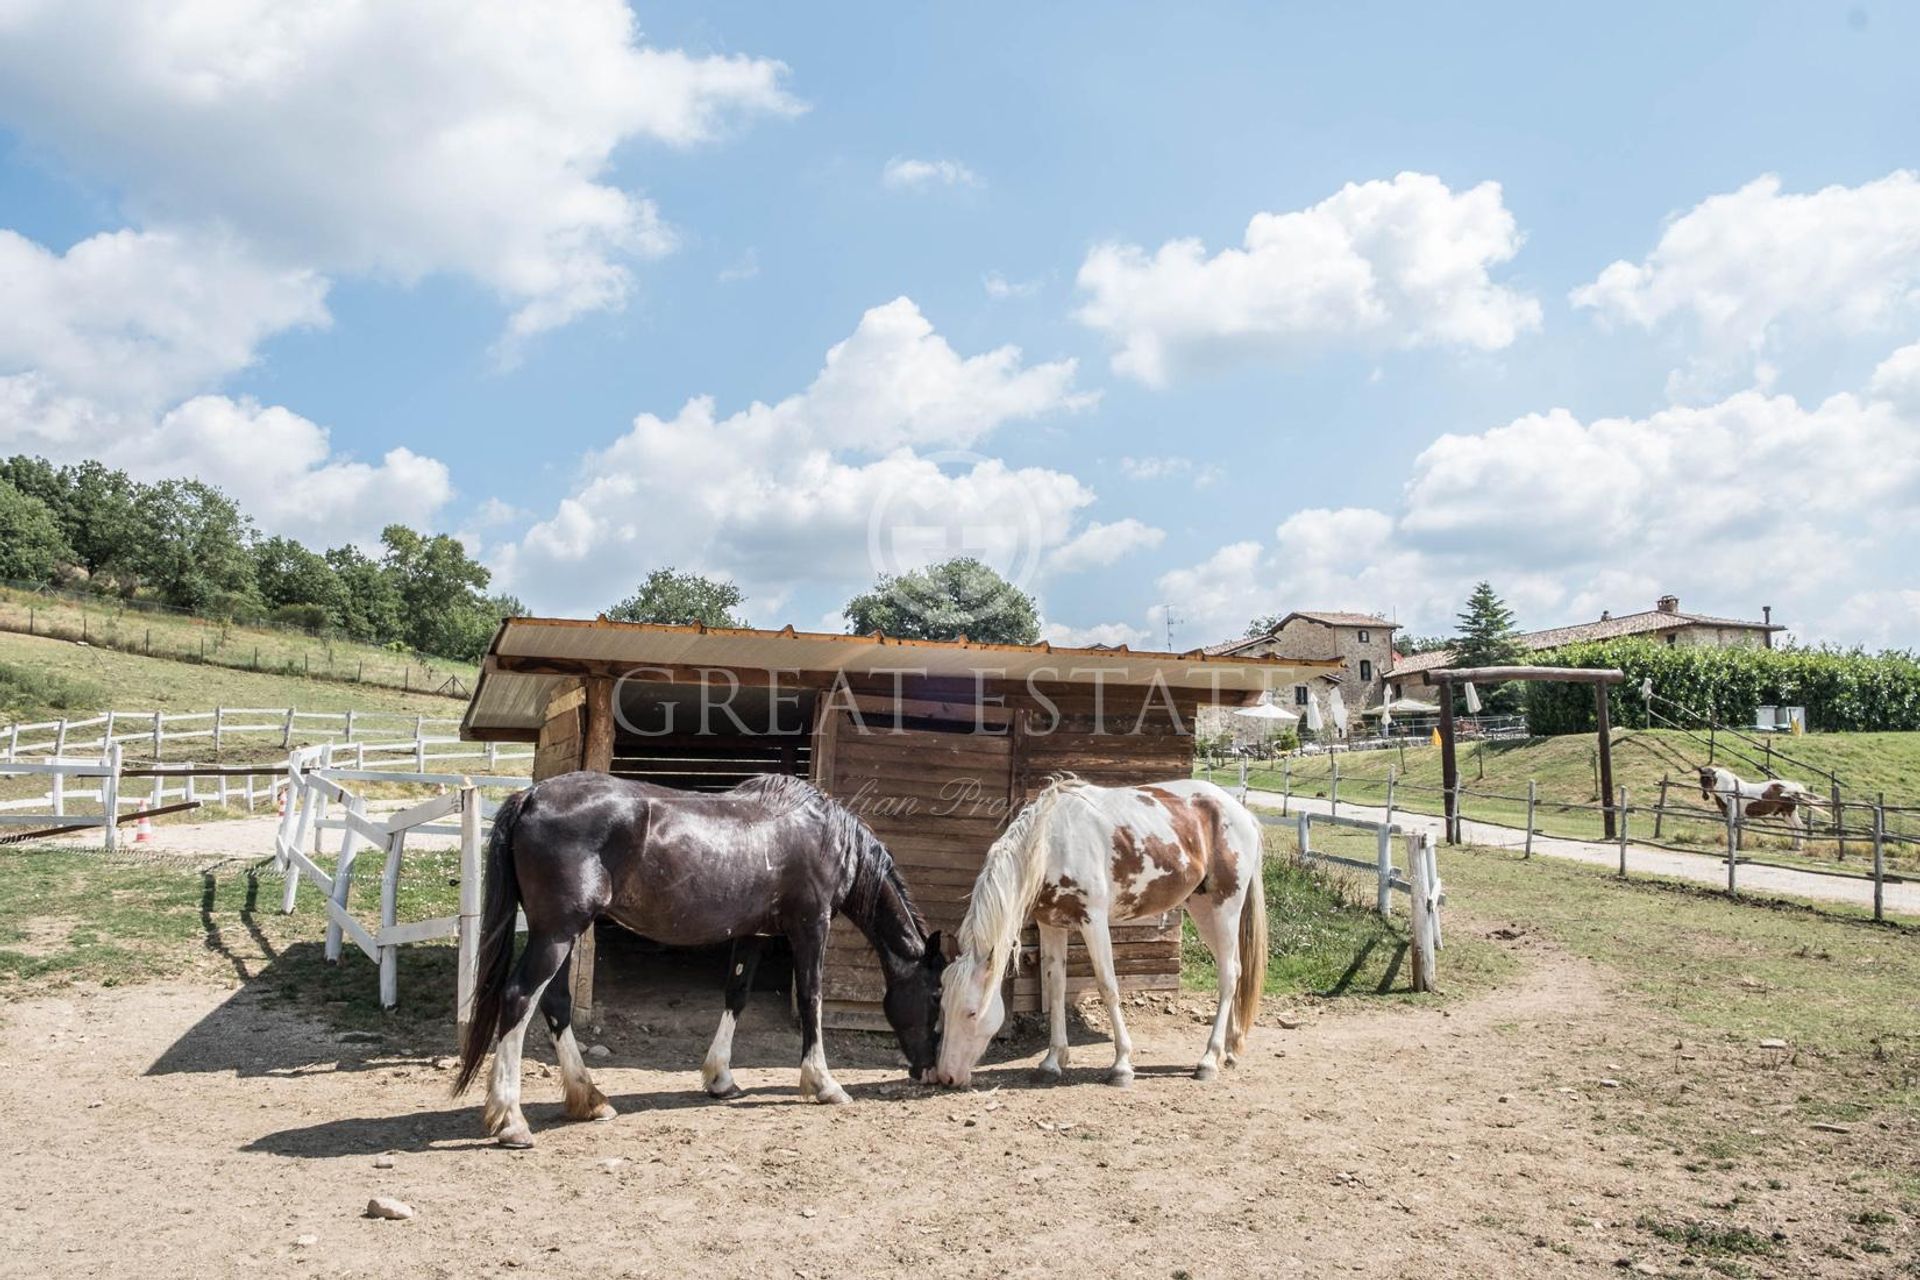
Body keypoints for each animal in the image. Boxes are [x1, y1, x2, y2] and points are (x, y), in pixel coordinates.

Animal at [449, 767, 944, 1143]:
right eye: (937, 996)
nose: (928, 1070)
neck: (821, 834)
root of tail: (531, 796)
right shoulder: (810, 927)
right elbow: (811, 1000)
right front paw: (823, 1083)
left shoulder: (753, 934)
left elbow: (736, 995)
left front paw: (721, 1079)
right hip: (556, 932)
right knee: (519, 997)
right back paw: (511, 1120)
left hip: (563, 933)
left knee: (554, 1003)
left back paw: (590, 1100)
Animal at [933, 782, 1267, 1090]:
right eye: (943, 1006)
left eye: (971, 1013)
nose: (947, 1076)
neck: (1051, 845)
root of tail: (1243, 814)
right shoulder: (1051, 924)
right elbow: (1056, 987)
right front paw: (1052, 1062)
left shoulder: (1092, 920)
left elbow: (1108, 986)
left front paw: (1121, 1066)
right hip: (1202, 910)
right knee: (1235, 969)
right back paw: (1229, 1051)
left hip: (1225, 906)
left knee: (1228, 976)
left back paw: (1208, 1060)